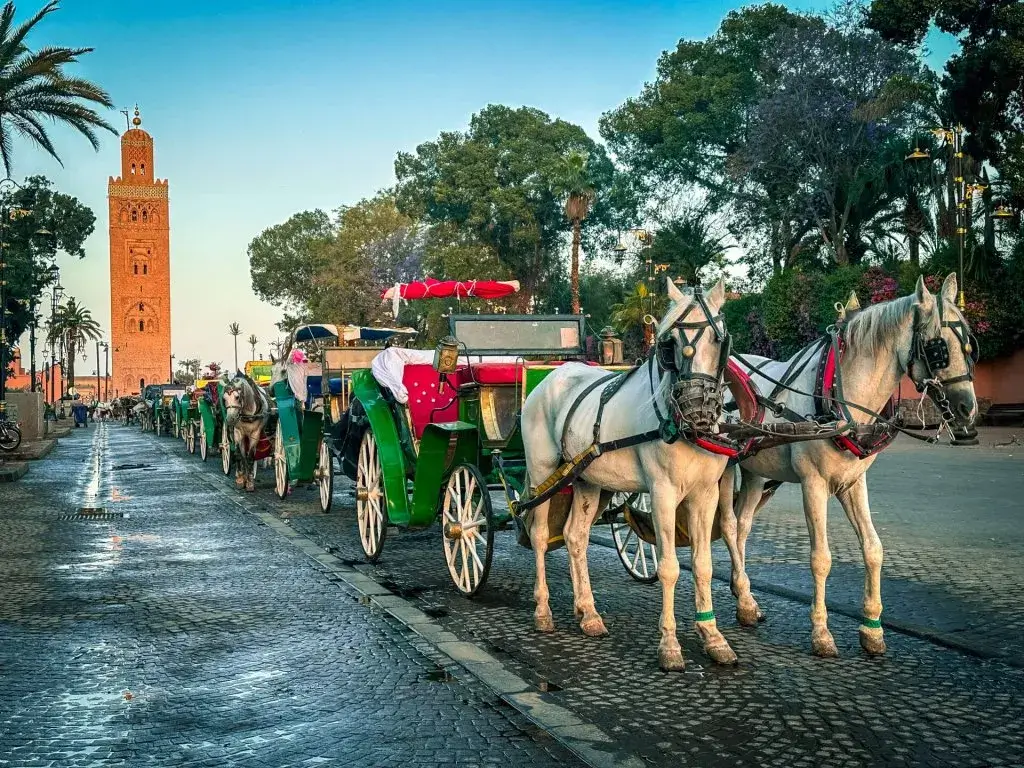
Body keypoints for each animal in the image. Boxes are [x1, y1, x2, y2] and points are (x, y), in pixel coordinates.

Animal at [524, 278, 733, 671]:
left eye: (718, 339)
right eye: (670, 342)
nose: (696, 407)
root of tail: (553, 376)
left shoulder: (706, 494)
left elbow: (703, 566)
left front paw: (713, 637)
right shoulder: (662, 491)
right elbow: (669, 567)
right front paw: (669, 645)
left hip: (588, 480)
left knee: (575, 537)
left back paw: (587, 612)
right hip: (542, 472)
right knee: (541, 535)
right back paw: (543, 611)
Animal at [716, 274, 978, 659]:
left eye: (970, 346)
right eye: (938, 348)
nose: (968, 410)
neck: (840, 396)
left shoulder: (854, 482)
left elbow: (873, 548)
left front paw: (872, 629)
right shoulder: (813, 484)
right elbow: (821, 558)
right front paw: (821, 633)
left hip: (754, 471)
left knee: (743, 525)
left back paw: (745, 598)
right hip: (722, 467)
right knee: (728, 524)